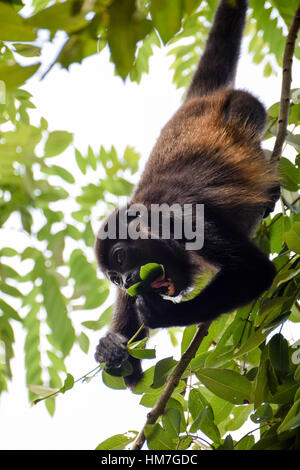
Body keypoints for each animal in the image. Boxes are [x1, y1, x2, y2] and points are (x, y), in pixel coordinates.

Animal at [94, 0, 278, 388]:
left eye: (120, 257)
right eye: (114, 278)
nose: (128, 280)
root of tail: (199, 100)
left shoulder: (181, 219)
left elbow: (254, 270)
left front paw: (164, 315)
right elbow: (134, 377)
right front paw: (111, 350)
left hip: (243, 105)